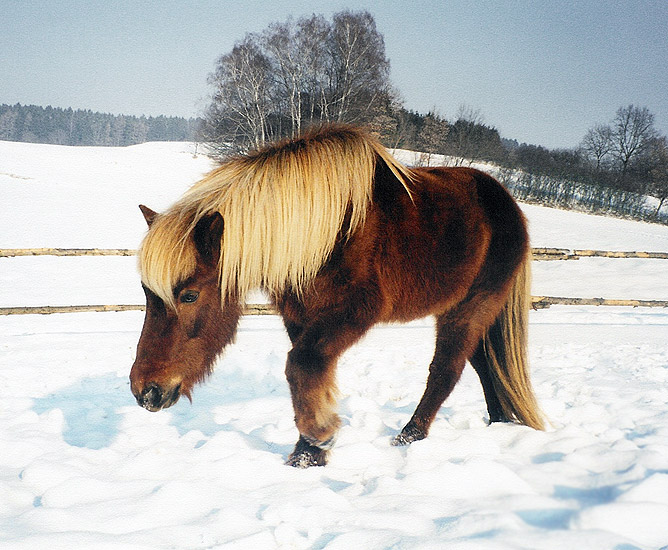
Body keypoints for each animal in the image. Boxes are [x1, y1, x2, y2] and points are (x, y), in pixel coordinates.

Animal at [130, 125, 544, 470]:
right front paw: (309, 452)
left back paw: (410, 436)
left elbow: (302, 364)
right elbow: (309, 373)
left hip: (470, 307)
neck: (326, 233)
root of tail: (506, 202)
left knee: (446, 369)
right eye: (147, 293)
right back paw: (499, 420)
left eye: (188, 295)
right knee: (484, 362)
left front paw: (319, 437)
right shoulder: (300, 316)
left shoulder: (352, 312)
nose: (145, 391)